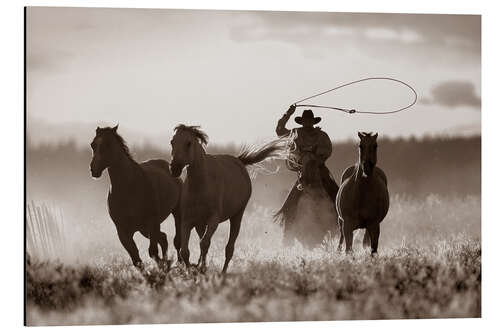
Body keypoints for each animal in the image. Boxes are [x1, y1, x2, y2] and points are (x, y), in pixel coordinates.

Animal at [91, 124, 183, 268]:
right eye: (93, 145)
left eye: (108, 144)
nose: (93, 169)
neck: (129, 188)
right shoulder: (122, 231)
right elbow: (136, 258)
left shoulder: (151, 223)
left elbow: (152, 252)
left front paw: (163, 266)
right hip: (144, 229)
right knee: (163, 238)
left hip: (174, 214)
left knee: (176, 240)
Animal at [168, 124, 286, 272]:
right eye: (172, 142)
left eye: (188, 143)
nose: (174, 168)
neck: (201, 186)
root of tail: (239, 161)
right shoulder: (188, 221)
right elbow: (185, 251)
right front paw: (193, 270)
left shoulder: (213, 219)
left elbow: (204, 243)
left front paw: (202, 269)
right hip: (200, 223)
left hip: (237, 216)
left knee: (229, 248)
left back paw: (223, 273)